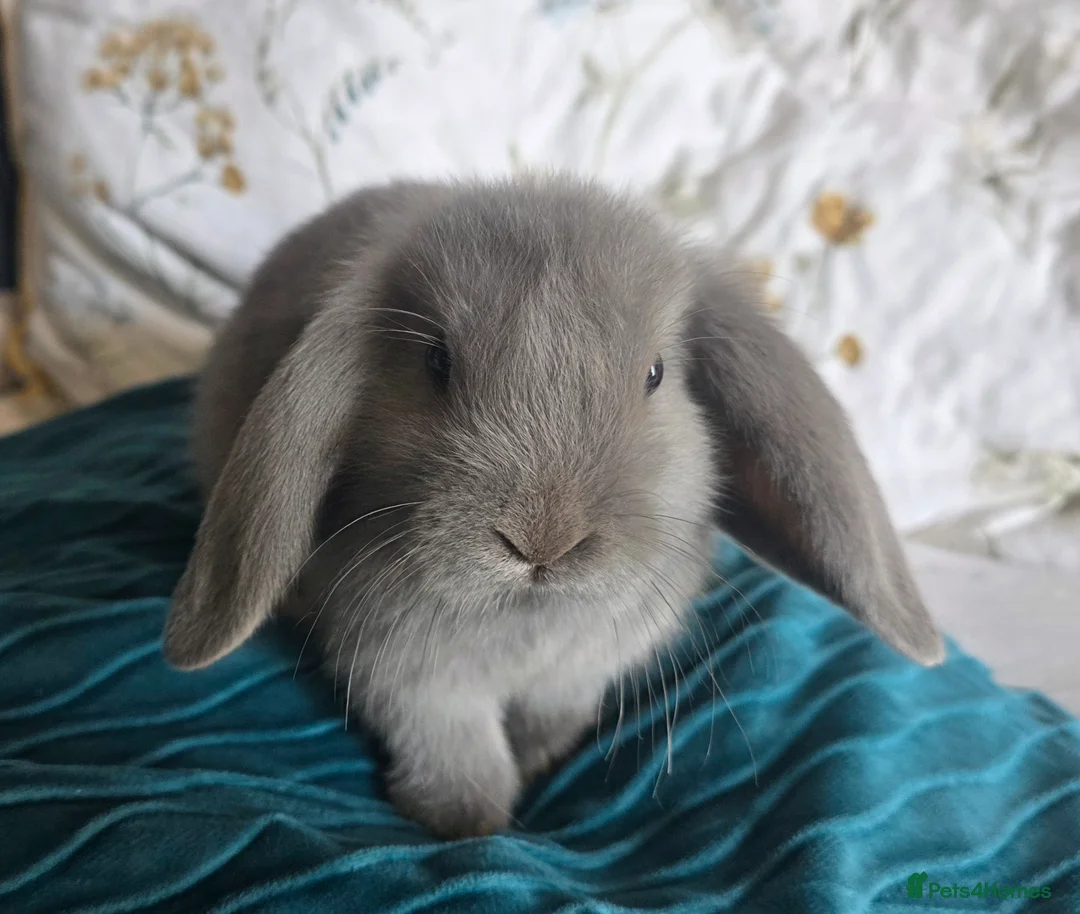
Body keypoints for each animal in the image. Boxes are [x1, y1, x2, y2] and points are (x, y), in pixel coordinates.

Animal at [163, 174, 944, 840]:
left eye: (656, 374)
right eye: (436, 362)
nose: (541, 542)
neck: (527, 620)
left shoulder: (577, 678)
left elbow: (547, 724)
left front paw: (535, 766)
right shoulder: (410, 678)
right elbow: (458, 750)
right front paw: (466, 823)